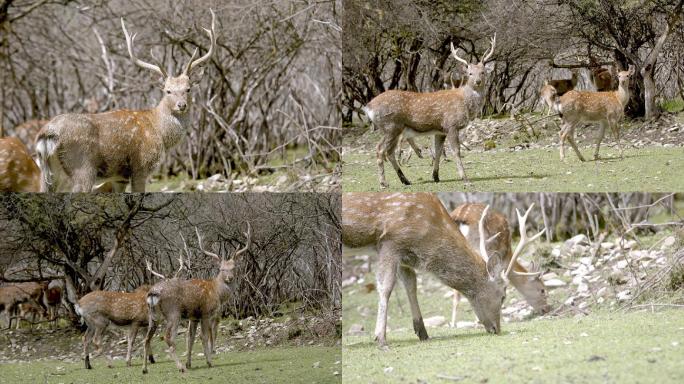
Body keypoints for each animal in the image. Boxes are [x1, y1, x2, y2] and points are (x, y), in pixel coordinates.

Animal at [35, 9, 216, 192]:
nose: (181, 105)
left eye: (188, 89)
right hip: (82, 168)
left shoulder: (119, 177)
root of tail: (47, 134)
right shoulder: (141, 166)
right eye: (168, 91)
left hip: (48, 174)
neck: (160, 131)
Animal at [142, 224, 251, 374]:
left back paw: (145, 369)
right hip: (173, 313)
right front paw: (209, 362)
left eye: (234, 268)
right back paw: (180, 367)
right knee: (168, 337)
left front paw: (189, 363)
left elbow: (191, 338)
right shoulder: (206, 313)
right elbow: (204, 337)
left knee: (147, 338)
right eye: (221, 269)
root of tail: (153, 293)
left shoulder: (193, 317)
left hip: (153, 316)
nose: (229, 278)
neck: (217, 292)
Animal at [340, 194, 544, 346]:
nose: (496, 329)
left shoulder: (403, 254)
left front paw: (422, 332)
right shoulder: (391, 240)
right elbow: (386, 287)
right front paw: (381, 338)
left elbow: (411, 285)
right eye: (503, 296)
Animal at [364, 34, 496, 188]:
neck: (464, 102)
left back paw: (405, 180)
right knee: (380, 150)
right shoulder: (451, 125)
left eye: (482, 72)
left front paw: (436, 176)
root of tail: (368, 107)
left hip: (395, 129)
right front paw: (465, 179)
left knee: (389, 152)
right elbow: (456, 151)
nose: (478, 81)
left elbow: (438, 151)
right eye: (470, 73)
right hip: (390, 126)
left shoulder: (440, 130)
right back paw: (384, 182)